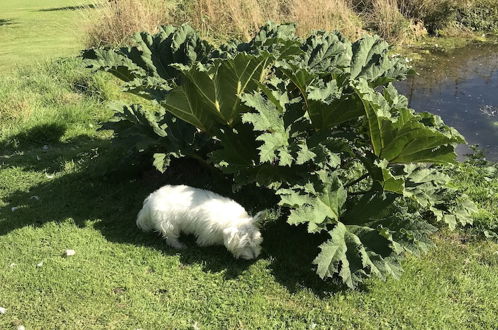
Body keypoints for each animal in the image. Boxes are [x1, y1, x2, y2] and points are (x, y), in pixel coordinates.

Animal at [134, 184, 262, 260]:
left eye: (256, 242)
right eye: (245, 244)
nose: (255, 257)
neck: (233, 219)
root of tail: (151, 199)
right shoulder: (207, 233)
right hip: (169, 224)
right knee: (170, 238)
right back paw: (179, 245)